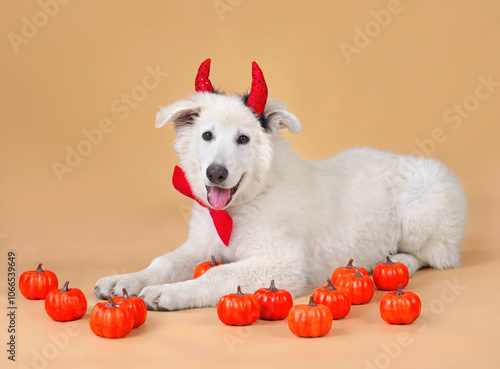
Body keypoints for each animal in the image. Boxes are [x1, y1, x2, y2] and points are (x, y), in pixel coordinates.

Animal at [94, 59, 468, 310]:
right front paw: (124, 280)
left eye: (243, 139)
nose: (216, 174)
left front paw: (172, 292)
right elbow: (163, 263)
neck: (242, 206)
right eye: (207, 135)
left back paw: (393, 263)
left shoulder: (281, 264)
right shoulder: (199, 247)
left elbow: (216, 276)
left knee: (434, 257)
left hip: (422, 214)